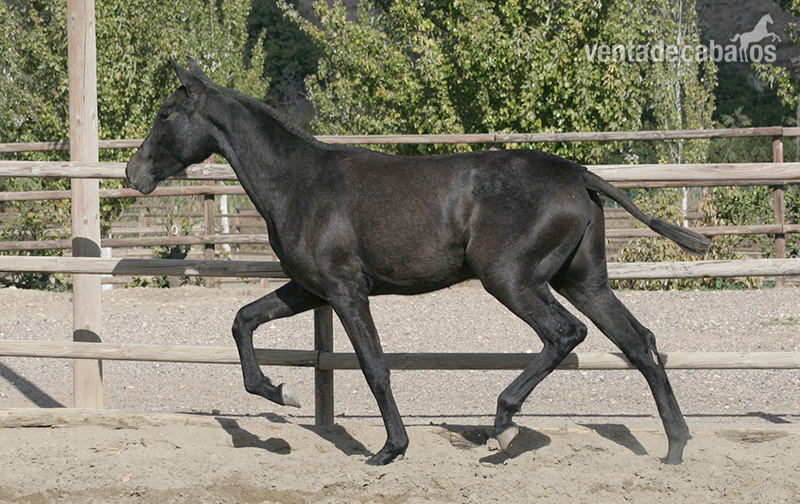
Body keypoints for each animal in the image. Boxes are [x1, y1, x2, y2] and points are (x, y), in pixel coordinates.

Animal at [126, 57, 710, 466]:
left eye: (164, 114)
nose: (134, 174)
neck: (299, 183)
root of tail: (580, 175)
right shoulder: (310, 289)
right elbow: (243, 320)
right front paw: (280, 393)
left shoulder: (345, 291)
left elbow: (374, 366)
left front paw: (389, 449)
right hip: (583, 281)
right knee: (639, 343)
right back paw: (675, 447)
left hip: (511, 279)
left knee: (565, 334)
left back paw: (504, 423)